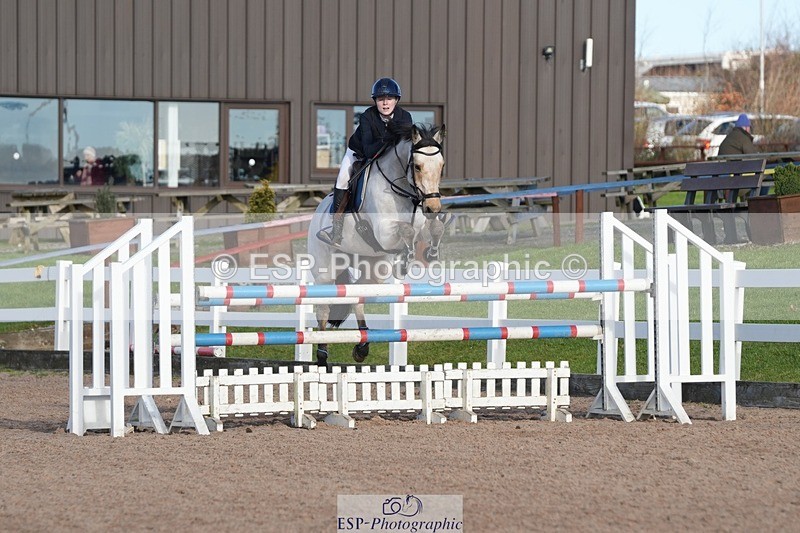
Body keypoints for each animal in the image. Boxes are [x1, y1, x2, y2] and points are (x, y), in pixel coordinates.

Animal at [306, 122, 447, 366]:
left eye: (441, 166)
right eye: (417, 167)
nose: (433, 208)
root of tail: (317, 213)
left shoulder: (420, 225)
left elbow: (434, 228)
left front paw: (429, 253)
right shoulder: (383, 232)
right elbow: (406, 230)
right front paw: (406, 259)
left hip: (373, 267)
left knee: (357, 298)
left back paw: (362, 347)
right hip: (325, 272)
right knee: (323, 308)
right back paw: (322, 354)